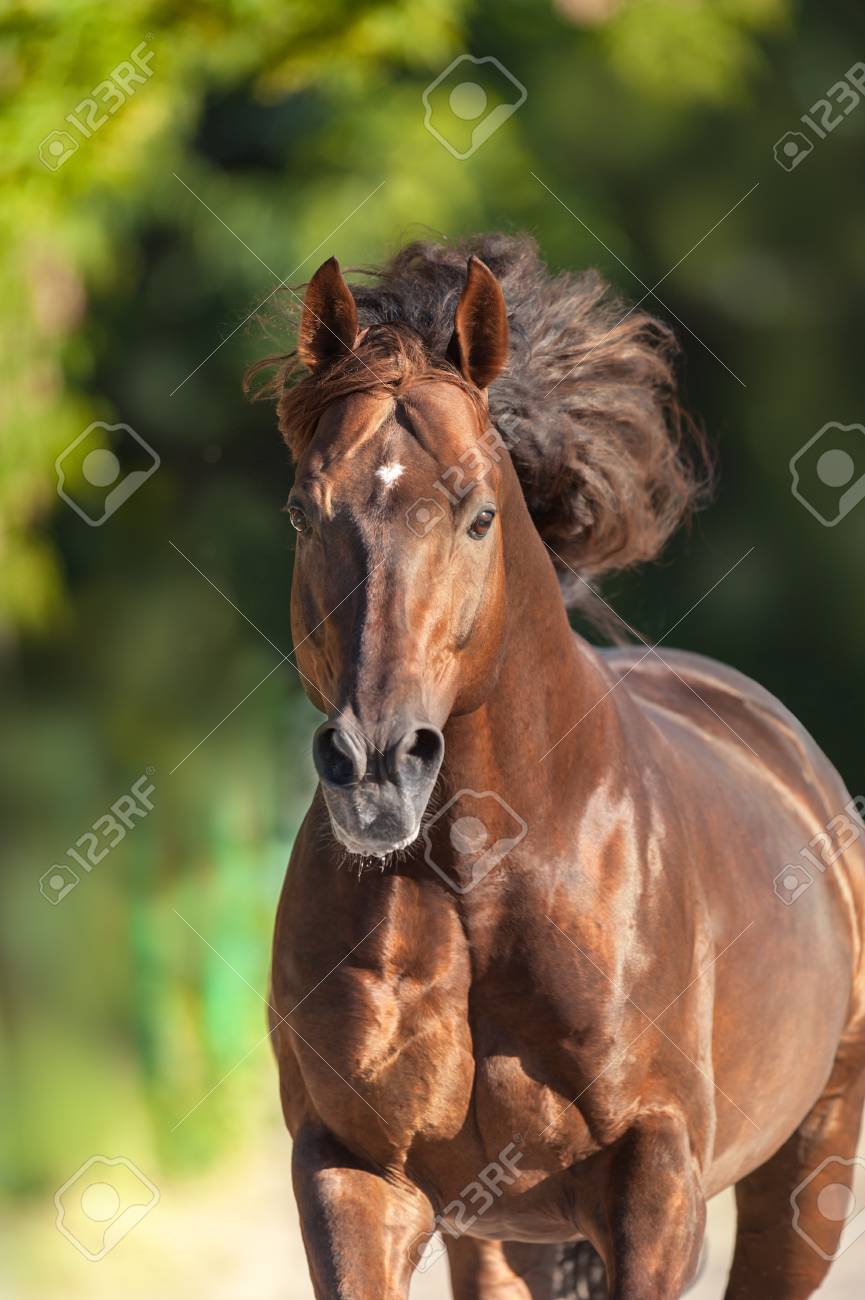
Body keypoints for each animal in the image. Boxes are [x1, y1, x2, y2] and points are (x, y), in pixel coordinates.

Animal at [252, 234, 865, 1299]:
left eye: (478, 516)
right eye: (302, 512)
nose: (377, 769)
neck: (482, 884)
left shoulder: (654, 1183)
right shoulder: (353, 1172)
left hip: (811, 1162)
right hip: (503, 1236)